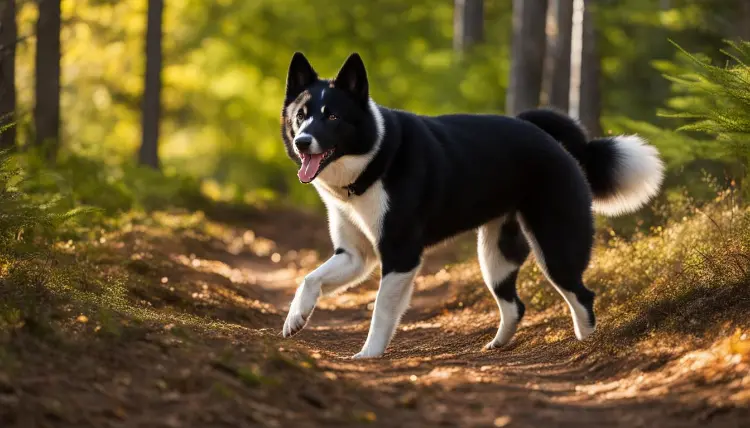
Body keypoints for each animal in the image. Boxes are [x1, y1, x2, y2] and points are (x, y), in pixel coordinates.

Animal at [280, 51, 668, 358]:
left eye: (332, 117)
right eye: (301, 115)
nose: (302, 142)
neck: (373, 160)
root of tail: (557, 142)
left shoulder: (400, 255)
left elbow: (381, 310)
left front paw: (368, 355)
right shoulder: (355, 255)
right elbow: (309, 279)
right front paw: (295, 319)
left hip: (556, 246)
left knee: (583, 295)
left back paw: (586, 345)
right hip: (495, 255)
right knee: (515, 305)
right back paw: (497, 345)